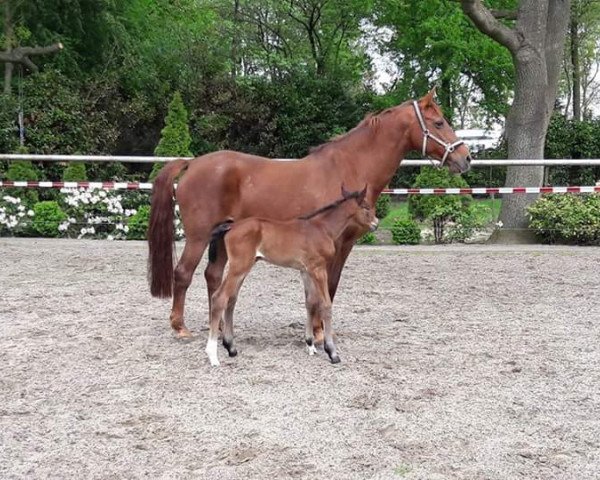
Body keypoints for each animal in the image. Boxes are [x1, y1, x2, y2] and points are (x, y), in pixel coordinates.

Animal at [205, 186, 376, 366]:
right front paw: (332, 352)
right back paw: (213, 355)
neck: (322, 229)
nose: (376, 224)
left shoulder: (306, 271)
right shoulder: (319, 269)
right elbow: (326, 305)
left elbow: (310, 303)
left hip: (243, 268)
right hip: (239, 267)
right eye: (366, 207)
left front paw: (310, 345)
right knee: (219, 298)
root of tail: (231, 227)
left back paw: (231, 347)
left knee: (231, 300)